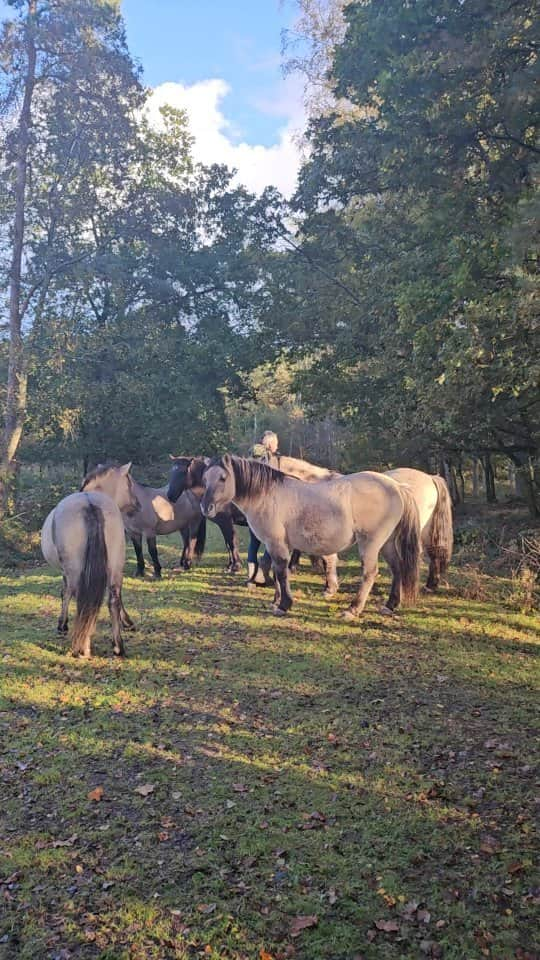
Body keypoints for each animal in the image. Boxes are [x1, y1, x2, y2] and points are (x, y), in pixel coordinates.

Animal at [40, 462, 137, 656]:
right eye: (129, 483)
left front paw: (62, 625)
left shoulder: (66, 573)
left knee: (81, 599)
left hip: (76, 570)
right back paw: (118, 646)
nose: (137, 505)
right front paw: (127, 622)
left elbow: (65, 593)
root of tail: (90, 503)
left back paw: (82, 647)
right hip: (115, 565)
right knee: (113, 598)